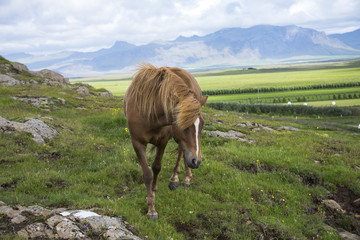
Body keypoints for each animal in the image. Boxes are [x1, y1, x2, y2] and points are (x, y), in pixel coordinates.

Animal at [124, 63, 208, 219]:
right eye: (183, 125)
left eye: (202, 125)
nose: (197, 161)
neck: (150, 113)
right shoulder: (137, 143)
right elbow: (147, 174)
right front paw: (150, 206)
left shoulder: (162, 141)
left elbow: (156, 167)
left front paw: (152, 199)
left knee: (181, 151)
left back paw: (179, 179)